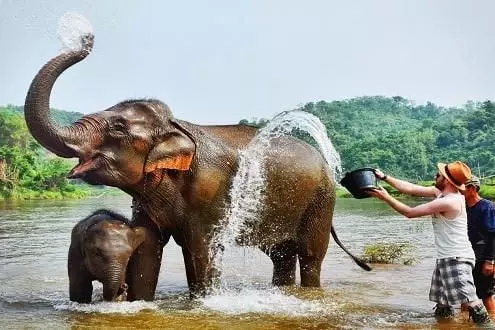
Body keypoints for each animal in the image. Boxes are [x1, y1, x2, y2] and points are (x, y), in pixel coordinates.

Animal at [25, 34, 370, 300]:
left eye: (119, 128)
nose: (87, 38)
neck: (175, 126)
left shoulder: (212, 190)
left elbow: (200, 248)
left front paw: (203, 303)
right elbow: (149, 245)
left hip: (321, 199)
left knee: (310, 254)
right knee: (280, 254)